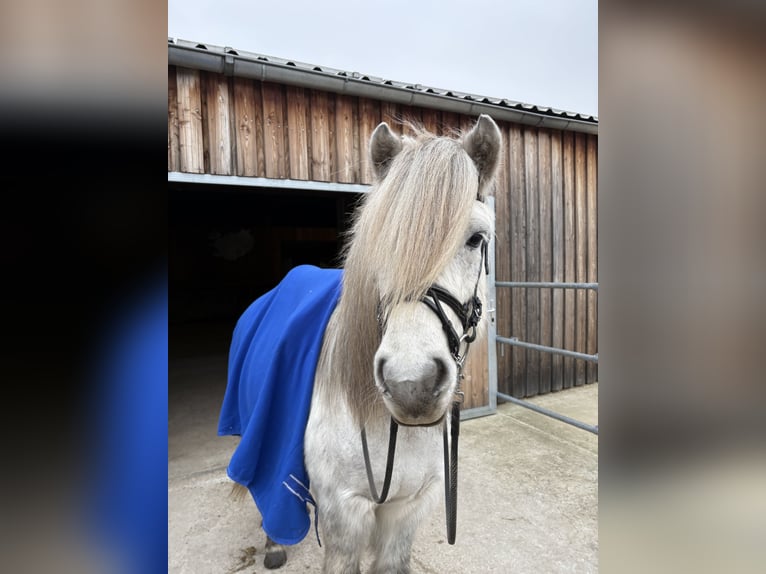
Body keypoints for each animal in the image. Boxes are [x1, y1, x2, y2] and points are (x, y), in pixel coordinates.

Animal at [220, 113, 502, 573]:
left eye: (476, 239)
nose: (411, 385)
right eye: (380, 240)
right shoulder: (344, 517)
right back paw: (274, 543)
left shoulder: (408, 509)